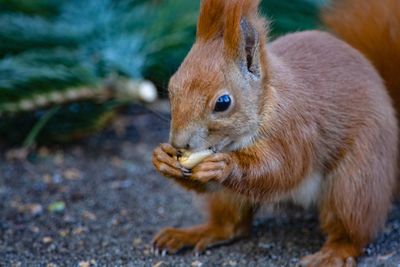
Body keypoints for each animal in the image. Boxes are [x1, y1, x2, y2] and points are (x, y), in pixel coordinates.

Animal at [151, 0, 400, 266]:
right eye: (171, 87)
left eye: (223, 103)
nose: (179, 143)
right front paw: (162, 158)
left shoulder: (295, 125)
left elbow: (284, 169)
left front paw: (223, 166)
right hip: (229, 199)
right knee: (231, 224)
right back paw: (193, 233)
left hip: (356, 181)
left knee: (353, 230)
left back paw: (334, 252)